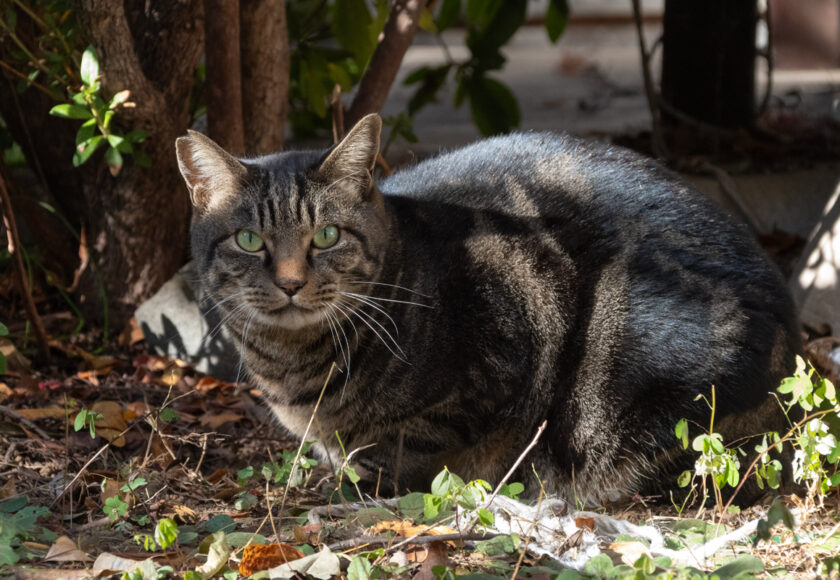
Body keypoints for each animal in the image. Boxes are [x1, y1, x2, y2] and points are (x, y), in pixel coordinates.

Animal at [177, 113, 800, 502]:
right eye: (250, 241)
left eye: (326, 236)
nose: (289, 283)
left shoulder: (492, 369)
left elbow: (405, 447)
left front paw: (349, 486)